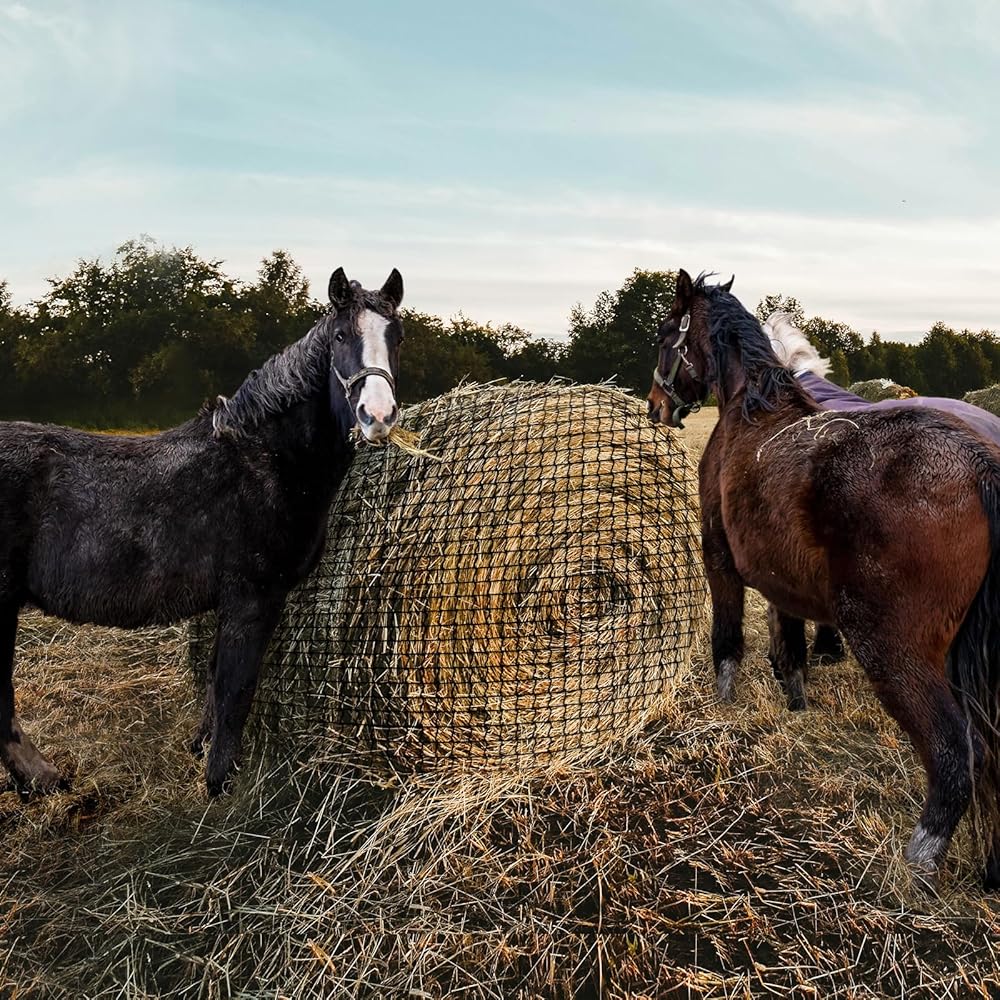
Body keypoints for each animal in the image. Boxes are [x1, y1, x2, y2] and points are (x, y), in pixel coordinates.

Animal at [0, 266, 404, 798]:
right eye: (340, 336)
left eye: (397, 338)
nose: (377, 417)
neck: (264, 459)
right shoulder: (254, 596)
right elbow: (236, 689)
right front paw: (220, 784)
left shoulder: (229, 602)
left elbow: (215, 684)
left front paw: (202, 752)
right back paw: (43, 778)